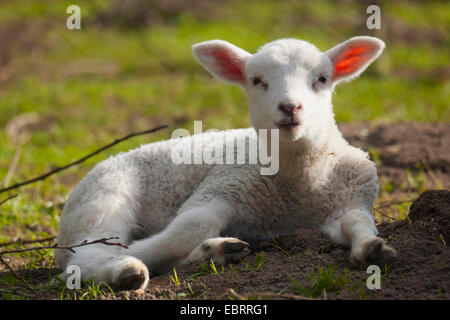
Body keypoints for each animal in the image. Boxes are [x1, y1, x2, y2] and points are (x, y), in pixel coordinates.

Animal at [55, 36, 398, 292]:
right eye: (256, 80)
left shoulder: (351, 198)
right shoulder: (221, 186)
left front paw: (372, 249)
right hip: (105, 198)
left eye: (323, 79)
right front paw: (135, 254)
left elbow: (357, 222)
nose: (290, 107)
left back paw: (215, 253)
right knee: (84, 255)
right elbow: (190, 227)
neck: (299, 184)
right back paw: (125, 269)